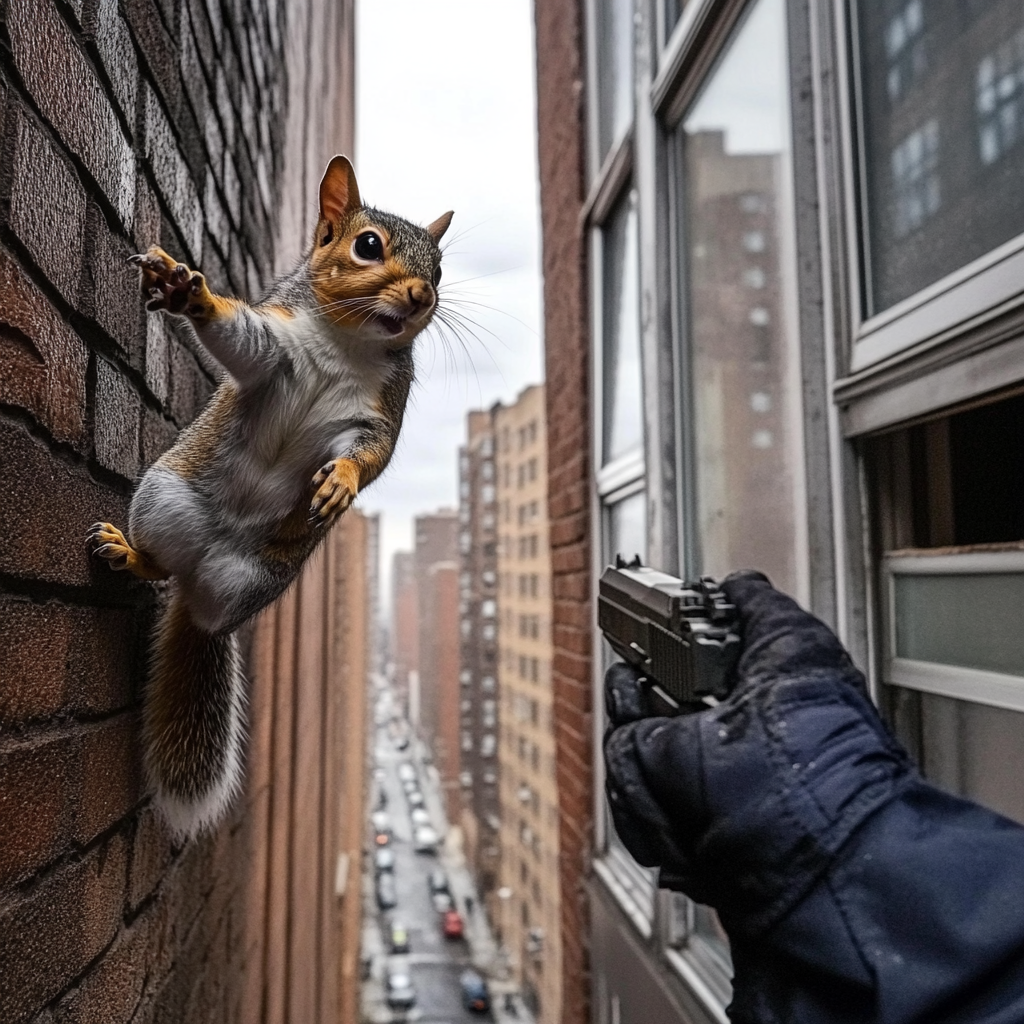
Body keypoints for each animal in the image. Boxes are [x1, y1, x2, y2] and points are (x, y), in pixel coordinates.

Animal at [89, 153, 452, 839]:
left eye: (440, 269)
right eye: (368, 245)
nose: (423, 296)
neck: (347, 343)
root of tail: (197, 581)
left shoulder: (377, 415)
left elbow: (368, 456)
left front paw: (340, 483)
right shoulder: (273, 348)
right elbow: (239, 338)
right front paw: (190, 292)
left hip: (255, 579)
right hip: (163, 499)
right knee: (157, 560)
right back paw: (128, 553)